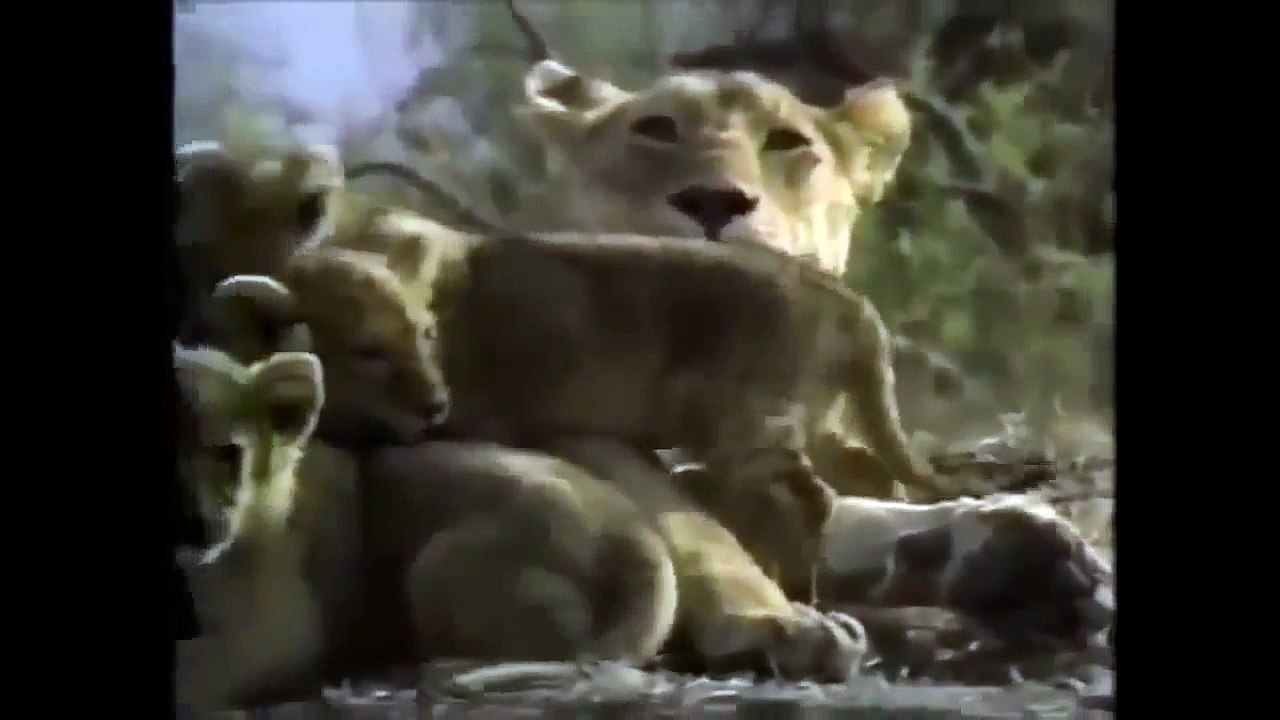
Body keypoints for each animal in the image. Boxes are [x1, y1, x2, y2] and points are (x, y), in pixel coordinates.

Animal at [173, 342, 865, 711]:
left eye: (226, 453)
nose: (193, 525)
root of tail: (637, 541)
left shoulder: (282, 626)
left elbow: (196, 669)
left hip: (439, 562)